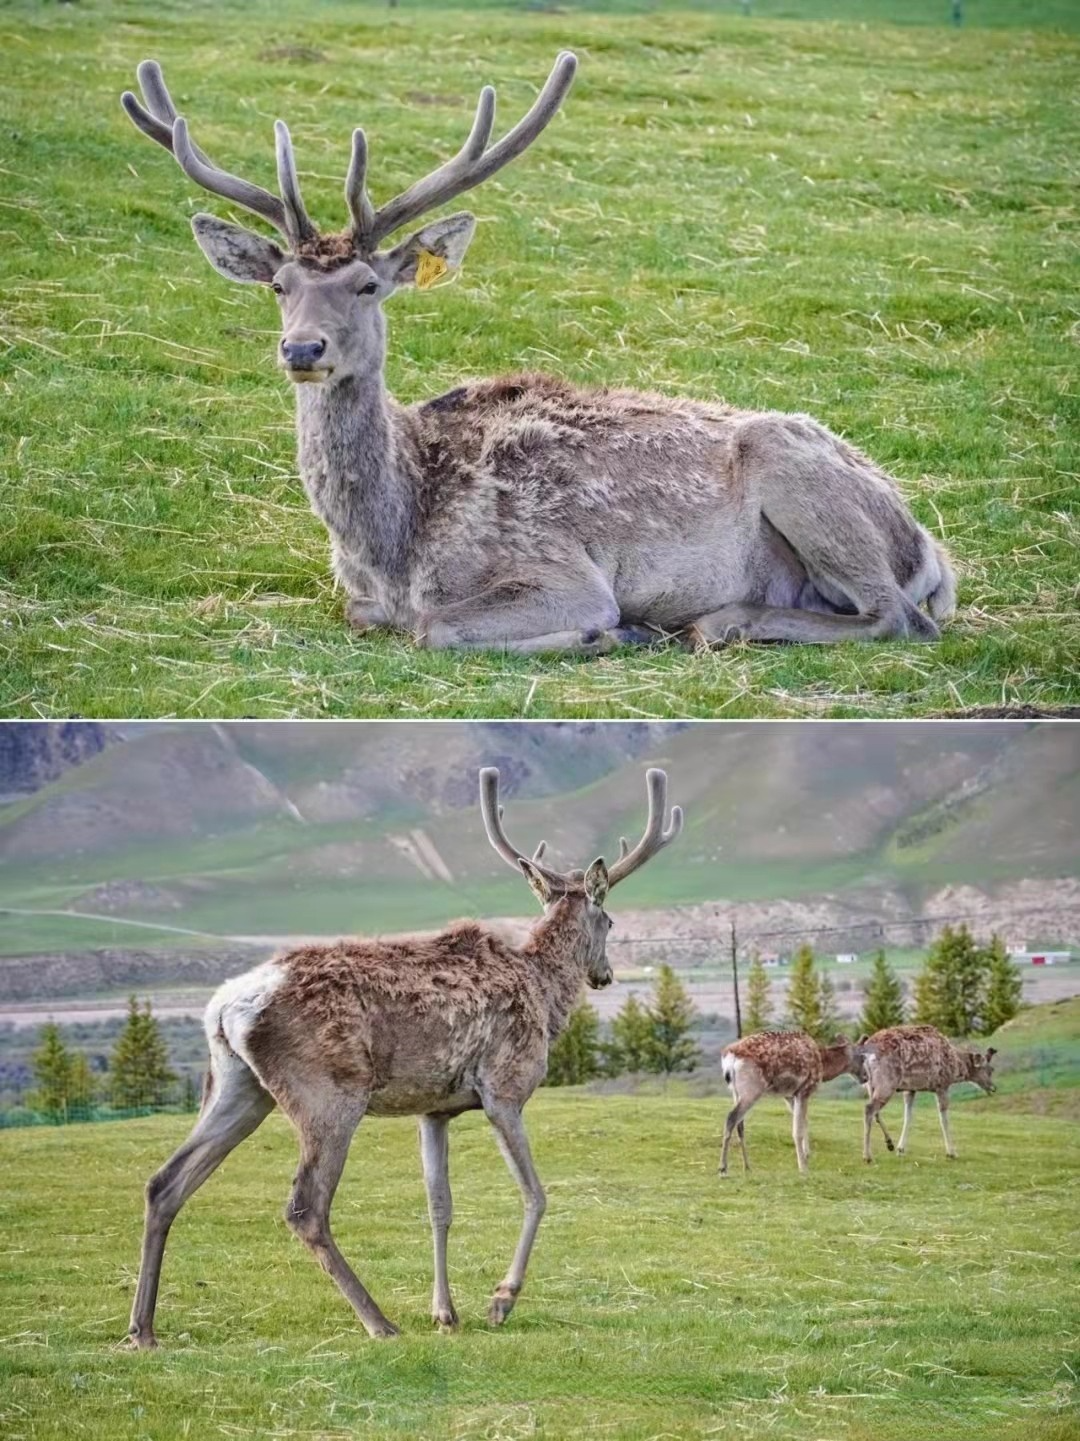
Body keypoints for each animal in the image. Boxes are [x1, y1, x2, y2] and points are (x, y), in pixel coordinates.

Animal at [121, 56, 957, 654]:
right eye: (280, 285)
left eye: (367, 285)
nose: (302, 346)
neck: (392, 544)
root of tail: (929, 548)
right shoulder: (361, 596)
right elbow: (371, 618)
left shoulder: (562, 570)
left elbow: (435, 628)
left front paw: (610, 633)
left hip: (800, 476)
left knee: (898, 617)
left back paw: (715, 623)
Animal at [124, 766, 683, 1348]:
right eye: (611, 922)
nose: (605, 975)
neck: (546, 993)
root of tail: (226, 1006)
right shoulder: (504, 1089)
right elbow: (535, 1193)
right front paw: (500, 1300)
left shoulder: (433, 1109)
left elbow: (439, 1205)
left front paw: (445, 1312)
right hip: (328, 1094)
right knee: (305, 1207)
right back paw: (378, 1321)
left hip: (237, 1086)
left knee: (165, 1182)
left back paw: (142, 1329)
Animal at [720, 1031, 865, 1175]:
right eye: (863, 1058)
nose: (865, 1077)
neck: (823, 1066)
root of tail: (730, 1057)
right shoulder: (805, 1089)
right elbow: (798, 1130)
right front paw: (803, 1167)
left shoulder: (789, 1095)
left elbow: (804, 1121)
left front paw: (807, 1154)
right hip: (752, 1088)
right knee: (731, 1117)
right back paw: (723, 1168)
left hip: (736, 1091)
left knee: (740, 1124)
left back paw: (747, 1166)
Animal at [859, 1020, 992, 1164]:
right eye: (990, 1070)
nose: (993, 1087)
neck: (956, 1067)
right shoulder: (942, 1085)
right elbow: (944, 1119)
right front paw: (951, 1153)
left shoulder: (910, 1089)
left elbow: (908, 1116)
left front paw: (901, 1149)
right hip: (887, 1082)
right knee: (869, 1109)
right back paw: (867, 1156)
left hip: (870, 1085)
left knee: (875, 1112)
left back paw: (889, 1144)